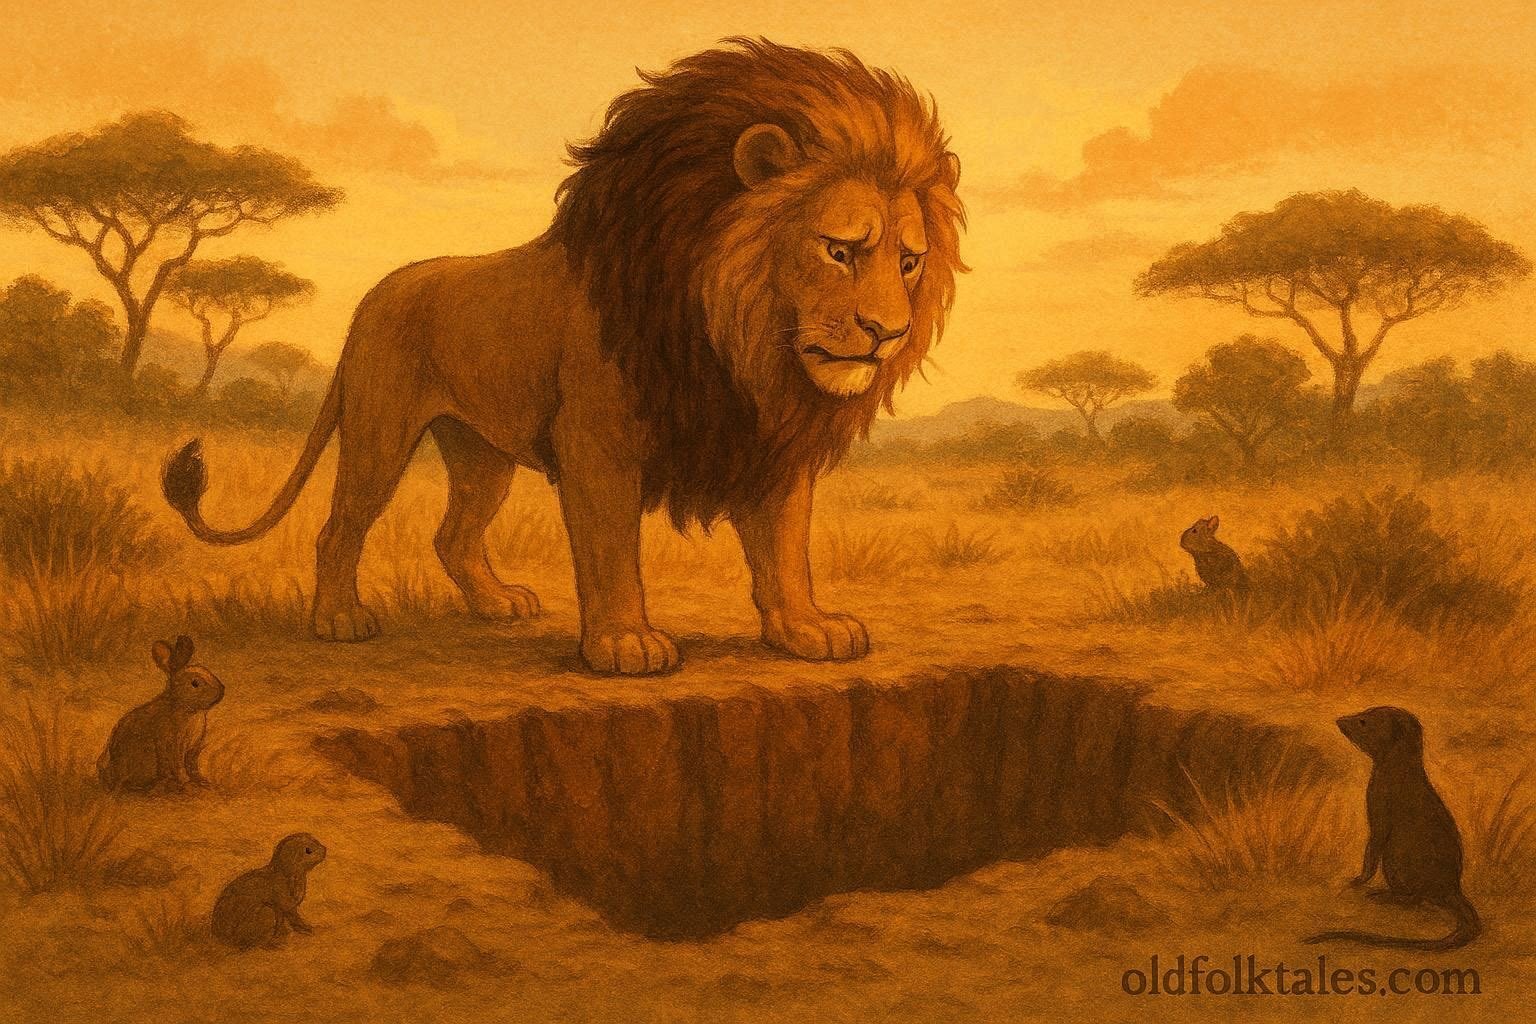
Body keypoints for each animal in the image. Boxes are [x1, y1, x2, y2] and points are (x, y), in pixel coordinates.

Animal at [161, 38, 965, 675]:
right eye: (840, 250)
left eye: (909, 262)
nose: (887, 332)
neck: (736, 341)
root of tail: (378, 292)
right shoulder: (598, 442)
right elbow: (610, 549)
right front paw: (624, 643)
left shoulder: (766, 441)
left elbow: (784, 546)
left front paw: (805, 629)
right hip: (379, 432)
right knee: (341, 527)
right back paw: (337, 621)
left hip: (481, 451)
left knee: (453, 535)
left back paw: (496, 604)